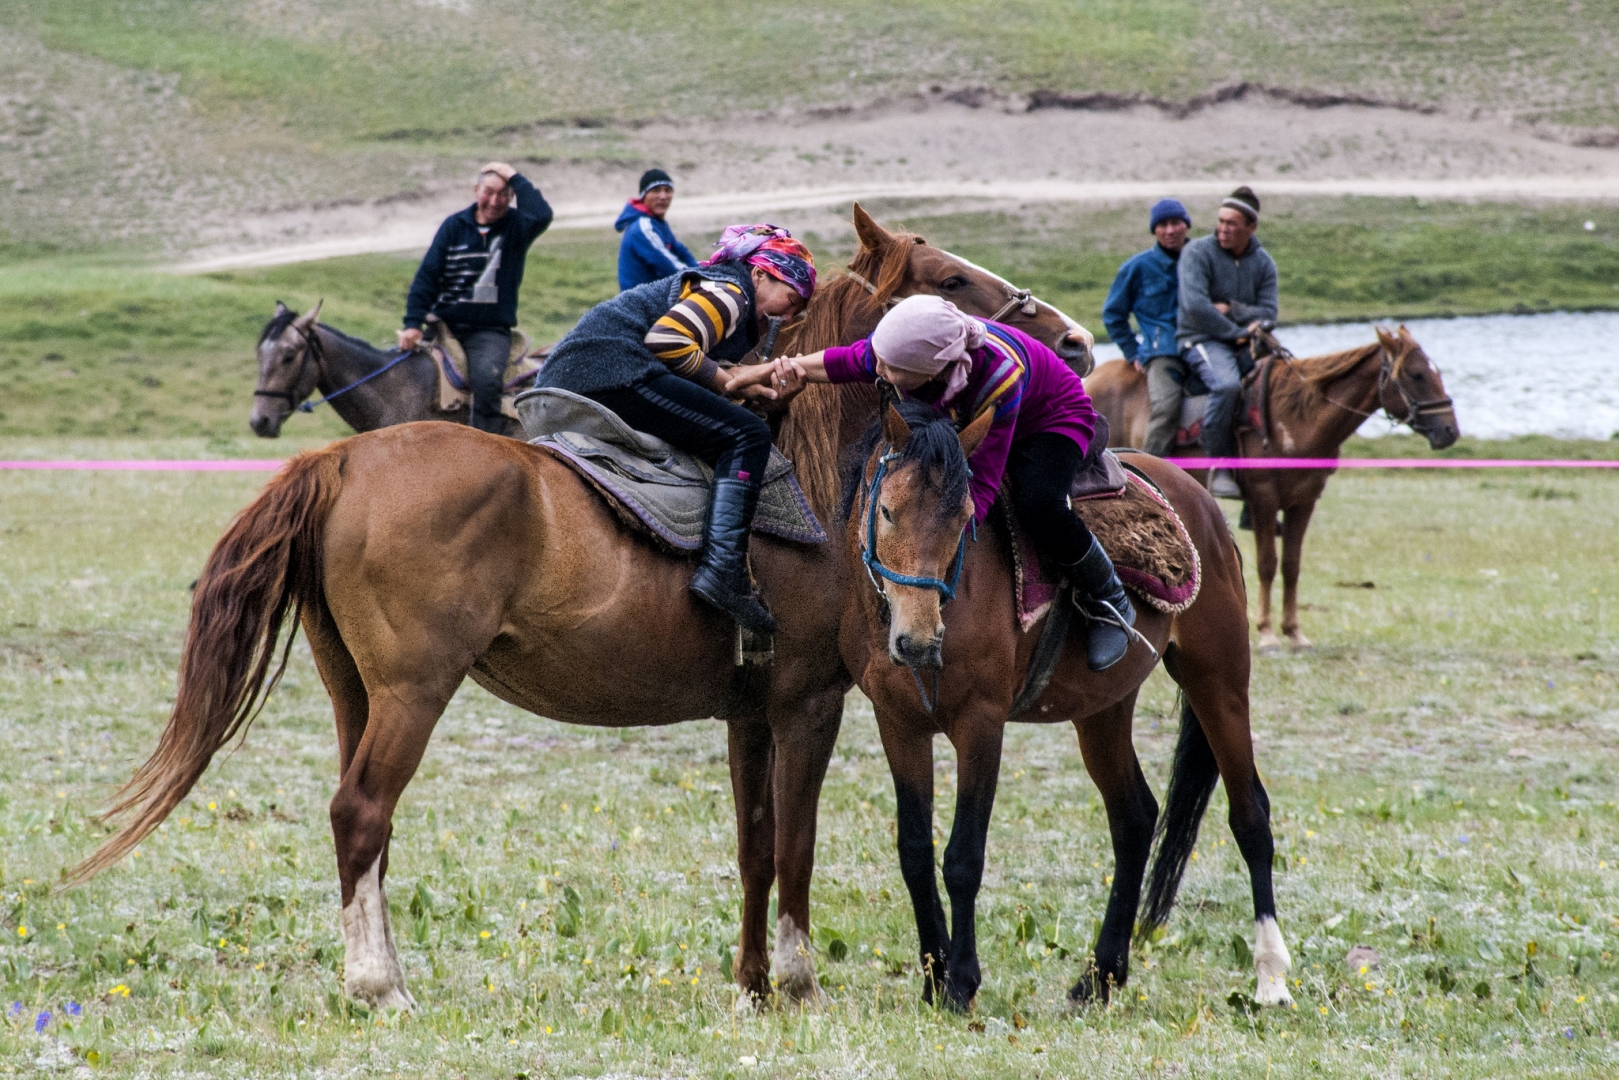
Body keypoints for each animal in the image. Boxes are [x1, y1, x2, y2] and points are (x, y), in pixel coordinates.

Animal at [835, 399, 1288, 1016]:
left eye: (963, 521)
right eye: (886, 511)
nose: (919, 640)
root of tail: (1203, 506)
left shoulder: (981, 725)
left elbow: (963, 858)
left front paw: (960, 982)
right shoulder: (897, 724)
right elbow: (914, 852)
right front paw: (932, 976)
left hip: (1218, 679)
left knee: (1250, 816)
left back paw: (1271, 975)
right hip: (1103, 709)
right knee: (1135, 819)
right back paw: (1101, 976)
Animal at [1087, 325, 1457, 650]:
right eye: (1417, 375)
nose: (1450, 430)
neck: (1295, 418)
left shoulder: (1303, 501)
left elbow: (1291, 564)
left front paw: (1294, 632)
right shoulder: (1263, 499)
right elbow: (1267, 563)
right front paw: (1265, 633)